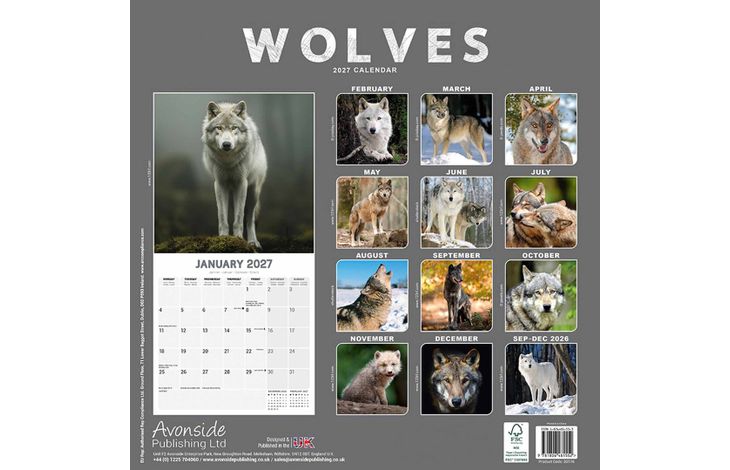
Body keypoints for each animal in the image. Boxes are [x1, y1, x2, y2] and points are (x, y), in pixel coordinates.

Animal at [202, 101, 267, 248]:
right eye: (219, 128)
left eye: (234, 128)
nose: (226, 144)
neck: (228, 162)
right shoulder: (220, 185)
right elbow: (222, 218)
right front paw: (223, 238)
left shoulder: (241, 184)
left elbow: (238, 218)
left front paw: (238, 239)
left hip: (253, 192)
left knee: (249, 219)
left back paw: (253, 242)